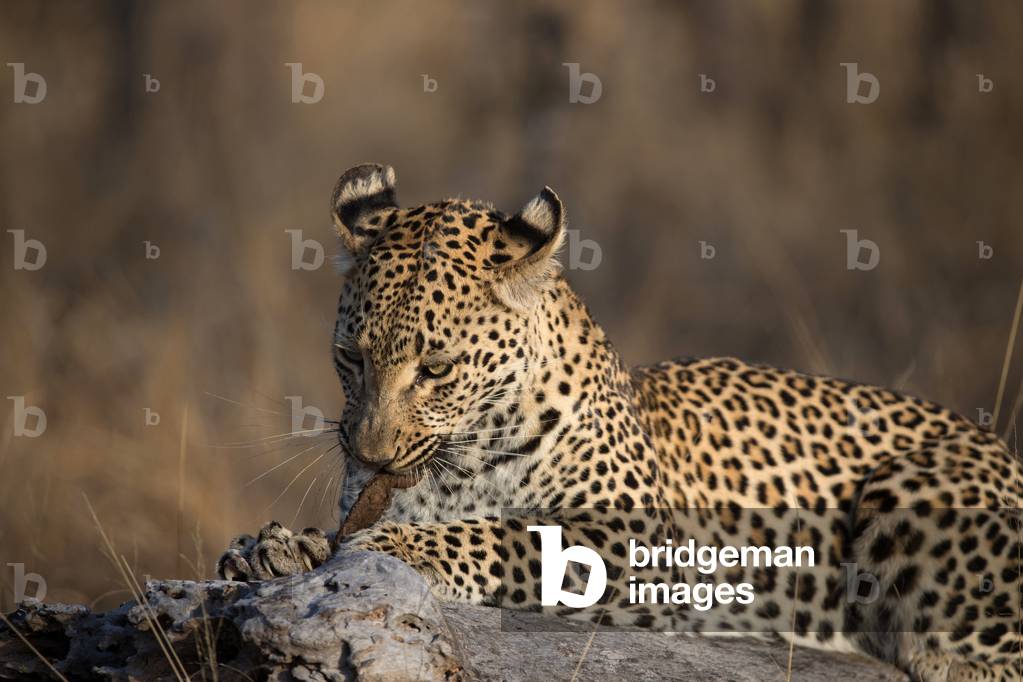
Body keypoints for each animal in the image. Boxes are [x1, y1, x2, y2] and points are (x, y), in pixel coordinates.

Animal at [218, 164, 1023, 681]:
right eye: (349, 358)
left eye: (437, 367)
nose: (371, 452)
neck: (465, 455)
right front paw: (279, 548)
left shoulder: (639, 544)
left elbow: (503, 535)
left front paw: (399, 546)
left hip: (911, 485)